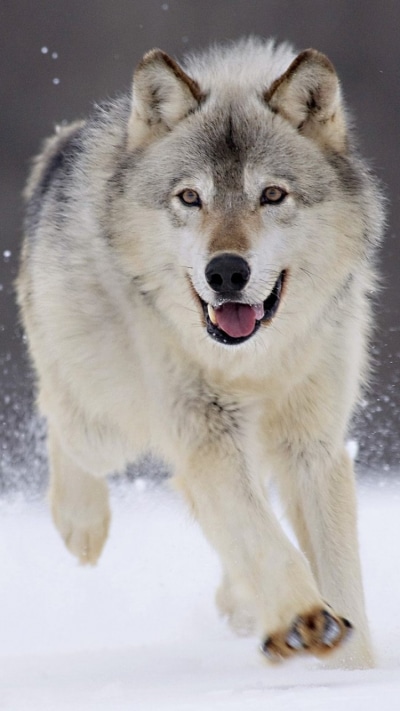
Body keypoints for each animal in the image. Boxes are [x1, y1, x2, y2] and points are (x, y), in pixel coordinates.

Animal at [17, 38, 384, 668]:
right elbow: (264, 539)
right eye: (190, 197)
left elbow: (336, 572)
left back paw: (240, 604)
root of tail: (63, 143)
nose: (226, 272)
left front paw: (352, 668)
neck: (254, 363)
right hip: (107, 423)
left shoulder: (312, 445)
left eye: (272, 195)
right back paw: (81, 525)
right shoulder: (206, 432)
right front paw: (303, 619)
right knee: (60, 419)